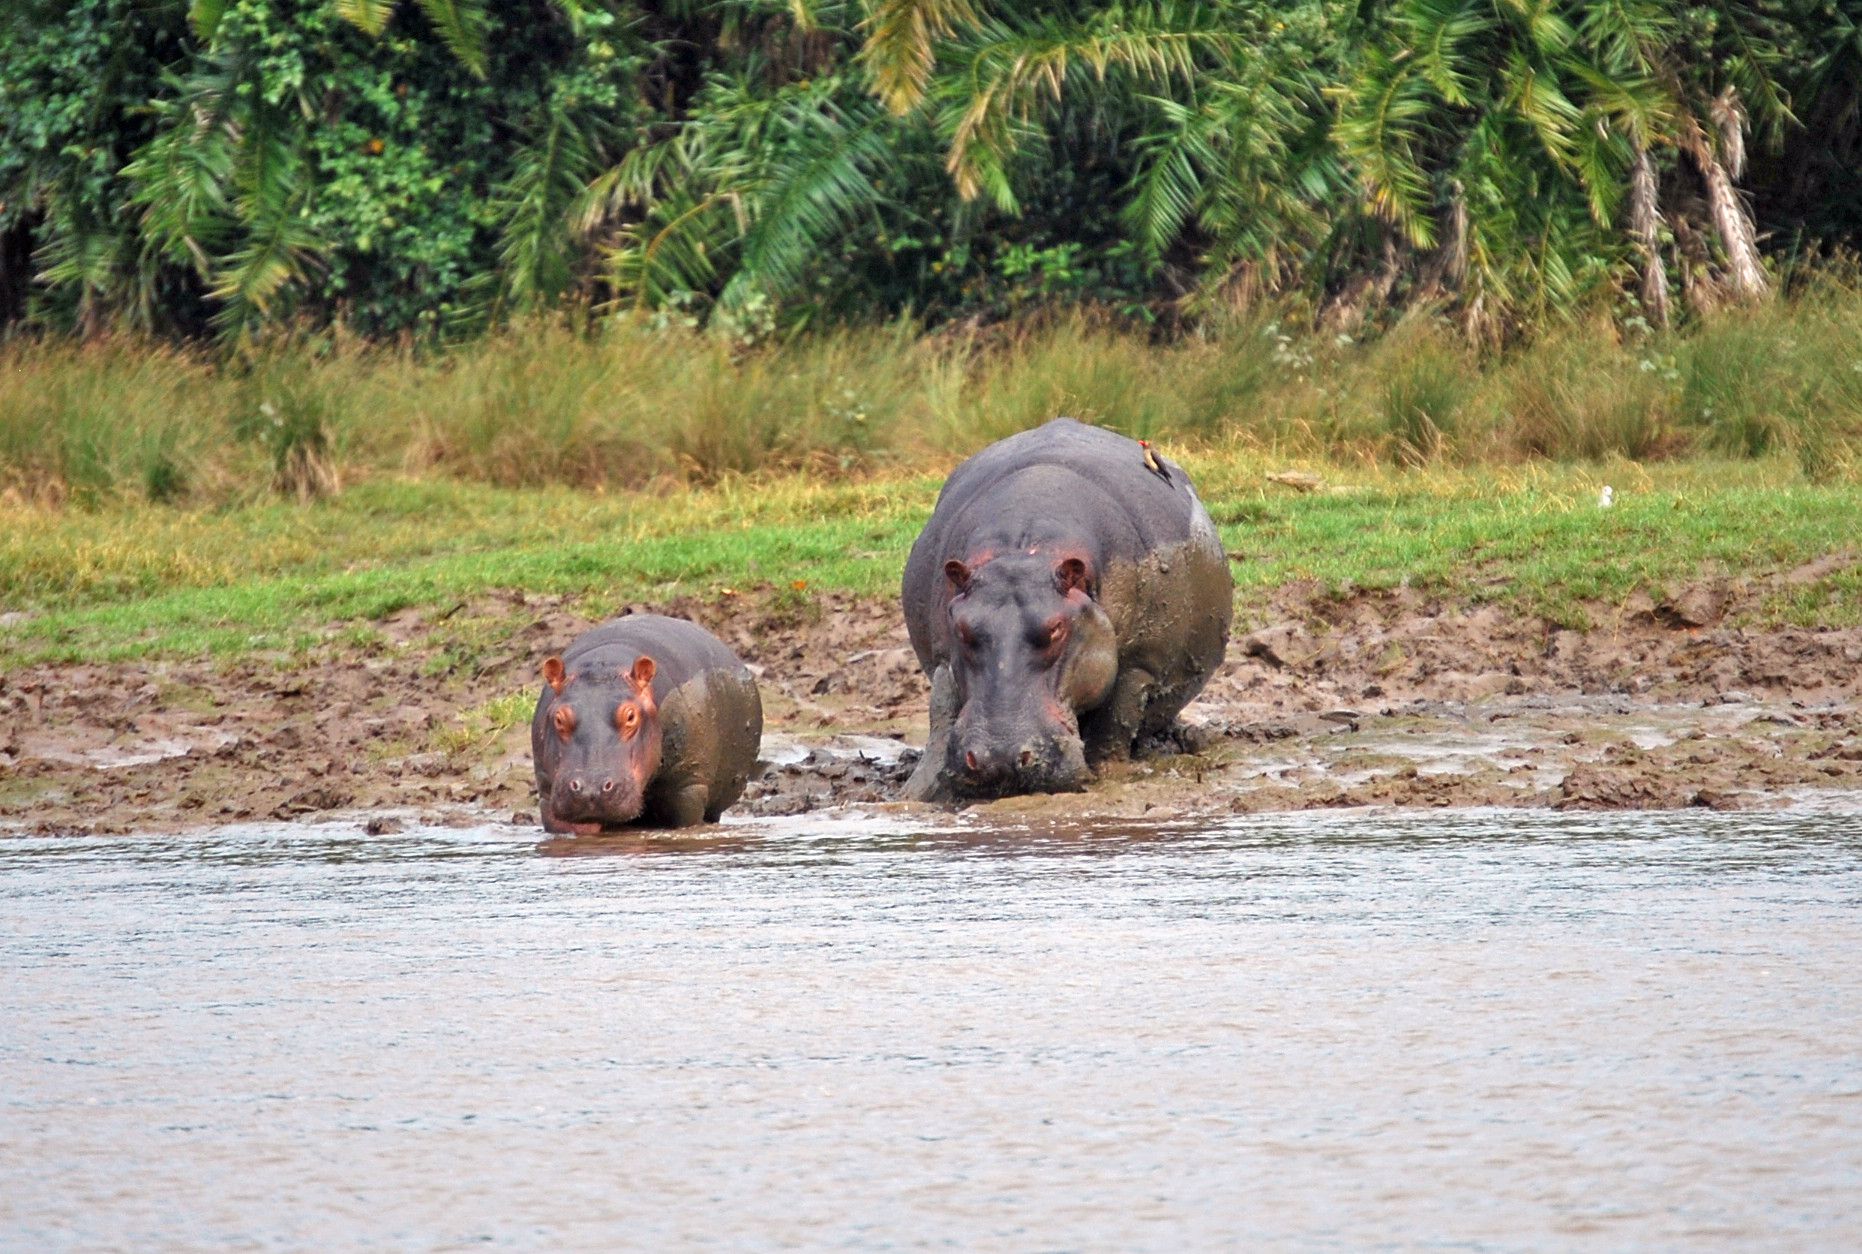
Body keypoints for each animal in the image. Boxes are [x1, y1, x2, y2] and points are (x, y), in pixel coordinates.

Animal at [532, 614, 763, 833]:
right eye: (559, 718)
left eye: (630, 716)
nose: (591, 788)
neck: (604, 666)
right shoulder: (548, 794)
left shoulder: (689, 785)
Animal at [900, 417, 1232, 801]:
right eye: (964, 629)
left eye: (1056, 628)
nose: (1000, 758)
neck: (1024, 553)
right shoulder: (944, 655)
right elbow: (940, 712)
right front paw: (916, 791)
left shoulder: (1139, 663)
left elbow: (1115, 719)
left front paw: (1108, 776)